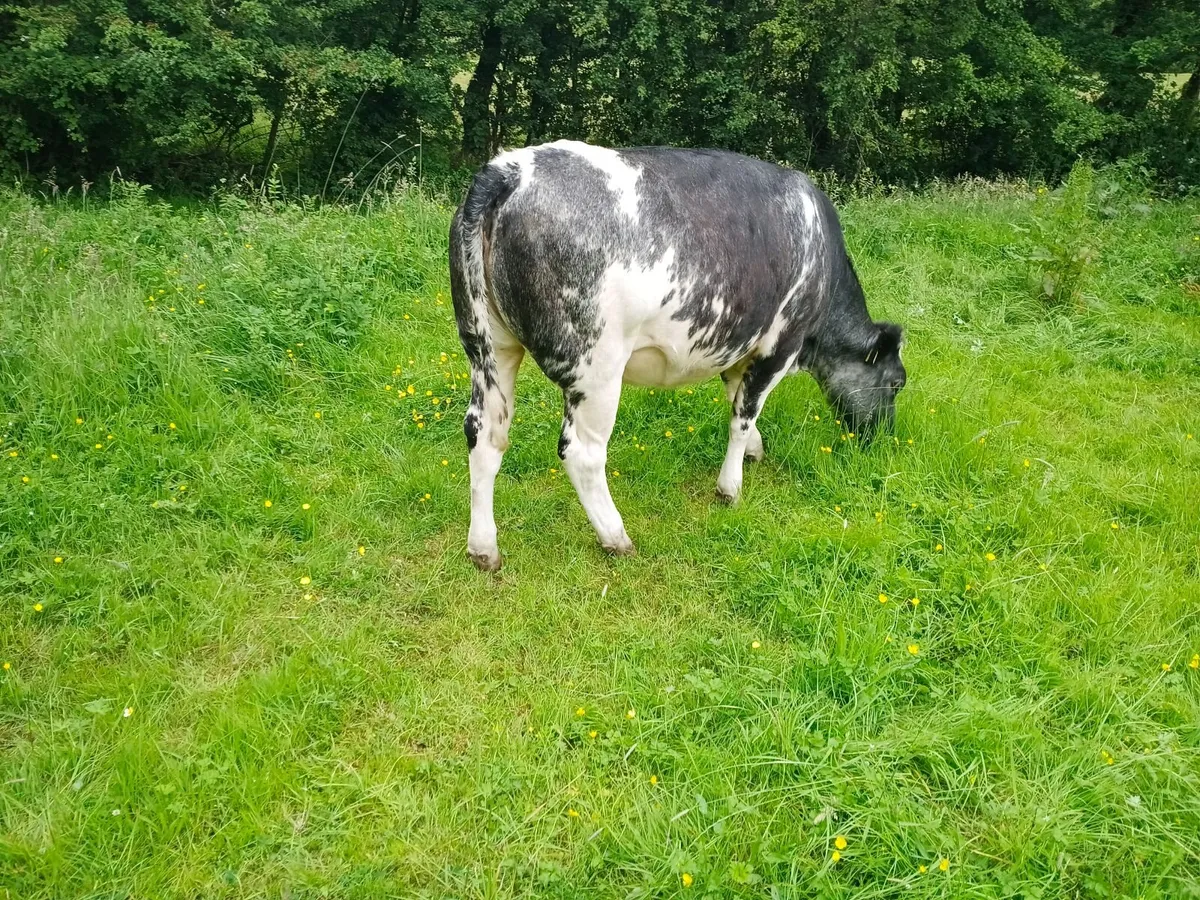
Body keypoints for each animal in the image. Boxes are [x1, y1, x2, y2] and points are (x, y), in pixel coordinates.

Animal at [449, 140, 906, 571]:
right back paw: (617, 538)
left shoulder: (736, 343)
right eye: (897, 383)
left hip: (488, 346)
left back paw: (483, 549)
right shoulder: (780, 342)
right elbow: (743, 415)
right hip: (596, 365)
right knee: (582, 452)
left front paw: (755, 451)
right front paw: (730, 488)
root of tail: (506, 170)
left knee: (484, 433)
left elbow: (736, 398)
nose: (883, 438)